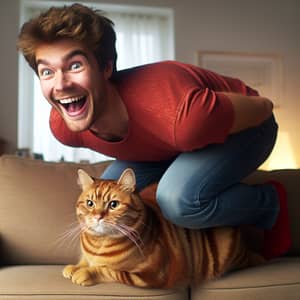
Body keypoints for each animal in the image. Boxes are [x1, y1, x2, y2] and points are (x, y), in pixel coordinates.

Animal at [62, 169, 262, 288]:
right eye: (90, 203)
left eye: (113, 204)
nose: (98, 216)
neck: (99, 243)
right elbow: (84, 261)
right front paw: (74, 267)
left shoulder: (151, 275)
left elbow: (108, 270)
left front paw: (85, 272)